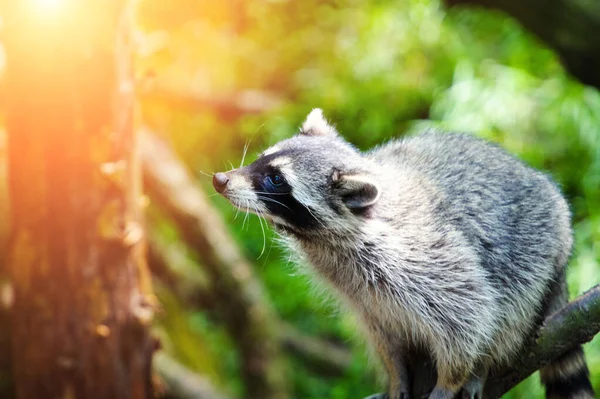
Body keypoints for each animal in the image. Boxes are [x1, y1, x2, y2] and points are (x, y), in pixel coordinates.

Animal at [212, 109, 596, 399]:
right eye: (262, 159)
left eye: (276, 180)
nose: (220, 179)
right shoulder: (362, 293)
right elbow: (384, 335)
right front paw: (397, 376)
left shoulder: (425, 254)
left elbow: (468, 313)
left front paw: (453, 377)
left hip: (533, 249)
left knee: (507, 310)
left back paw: (482, 367)